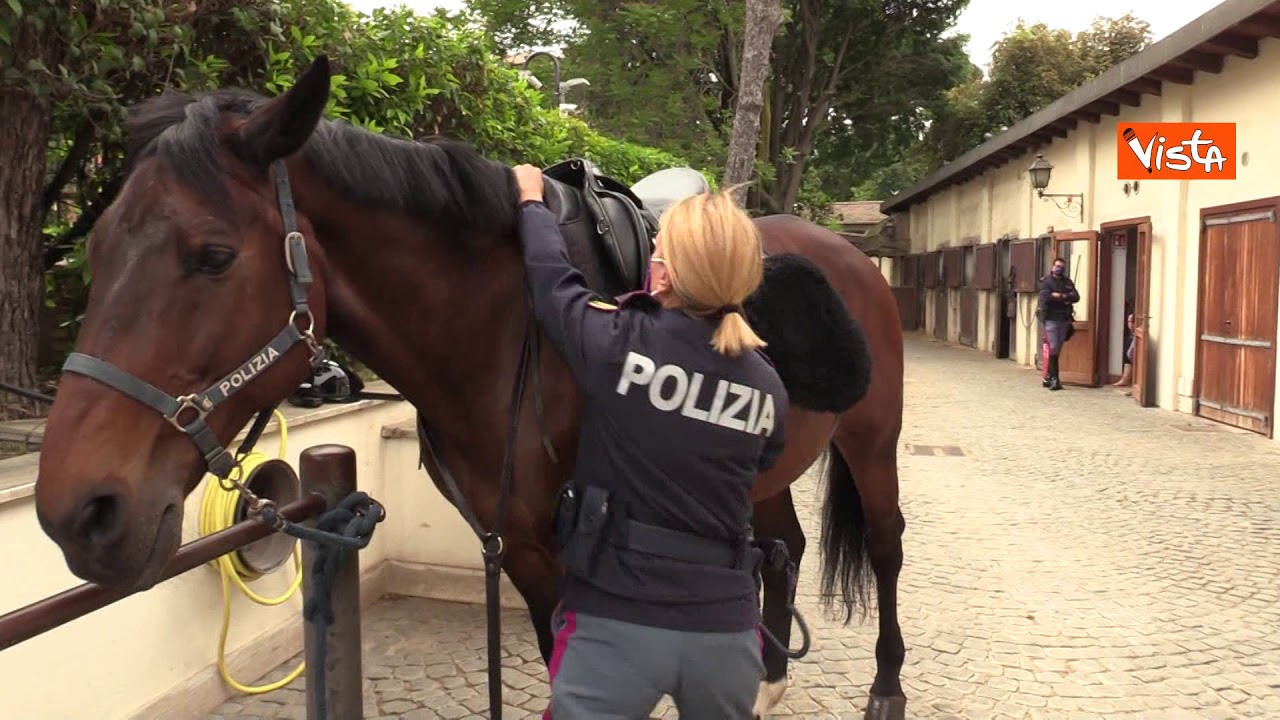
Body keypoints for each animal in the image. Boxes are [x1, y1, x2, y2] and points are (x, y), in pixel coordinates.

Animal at [32, 56, 908, 720]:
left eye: (212, 256)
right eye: (96, 249)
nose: (78, 513)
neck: (509, 332)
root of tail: (847, 252)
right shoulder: (519, 549)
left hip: (873, 439)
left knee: (885, 545)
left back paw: (887, 686)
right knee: (782, 549)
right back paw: (767, 680)